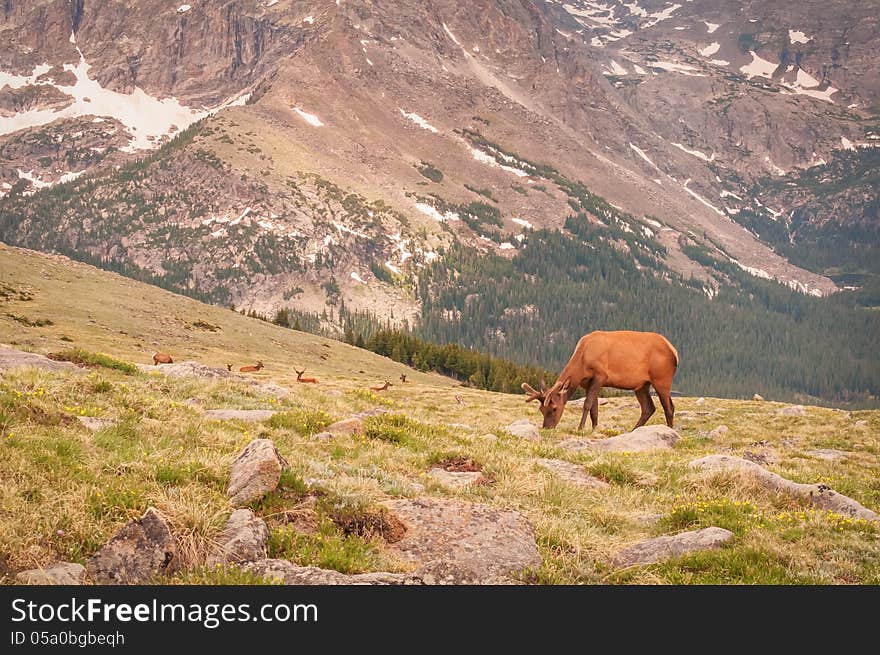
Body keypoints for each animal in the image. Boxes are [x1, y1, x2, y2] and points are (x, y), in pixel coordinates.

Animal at [524, 330, 680, 434]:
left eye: (555, 408)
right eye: (541, 409)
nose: (546, 427)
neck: (582, 362)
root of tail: (674, 352)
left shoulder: (600, 376)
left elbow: (587, 404)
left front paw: (580, 428)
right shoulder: (588, 383)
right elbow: (594, 410)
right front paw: (594, 428)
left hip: (662, 379)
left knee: (669, 407)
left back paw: (670, 430)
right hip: (642, 385)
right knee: (648, 407)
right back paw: (634, 430)